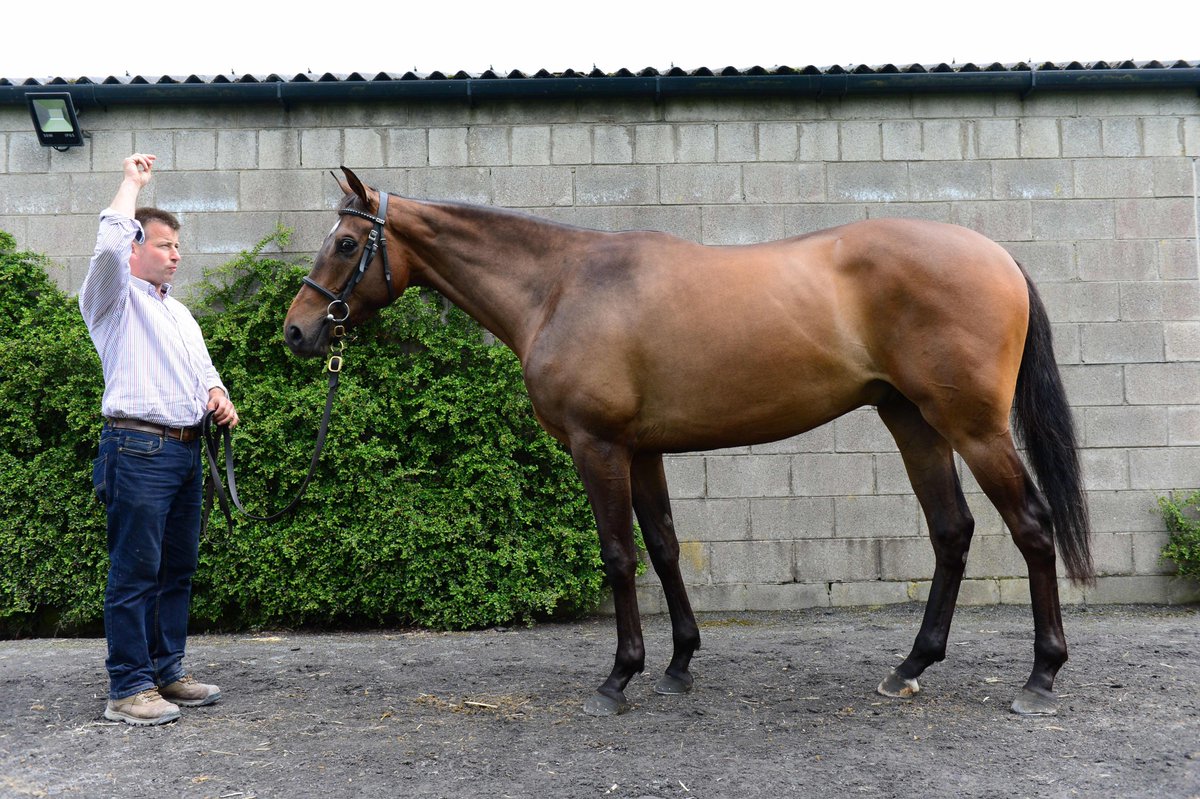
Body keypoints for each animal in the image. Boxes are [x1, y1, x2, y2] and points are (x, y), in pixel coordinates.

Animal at [285, 166, 1094, 715]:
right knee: (951, 531)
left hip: (973, 428)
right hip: (912, 420)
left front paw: (619, 676)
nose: (296, 331)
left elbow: (619, 555)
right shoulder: (642, 449)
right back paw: (910, 666)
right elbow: (665, 547)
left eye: (347, 243)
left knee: (1031, 526)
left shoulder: (598, 446)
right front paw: (679, 663)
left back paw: (1040, 676)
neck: (562, 286)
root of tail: (996, 255)